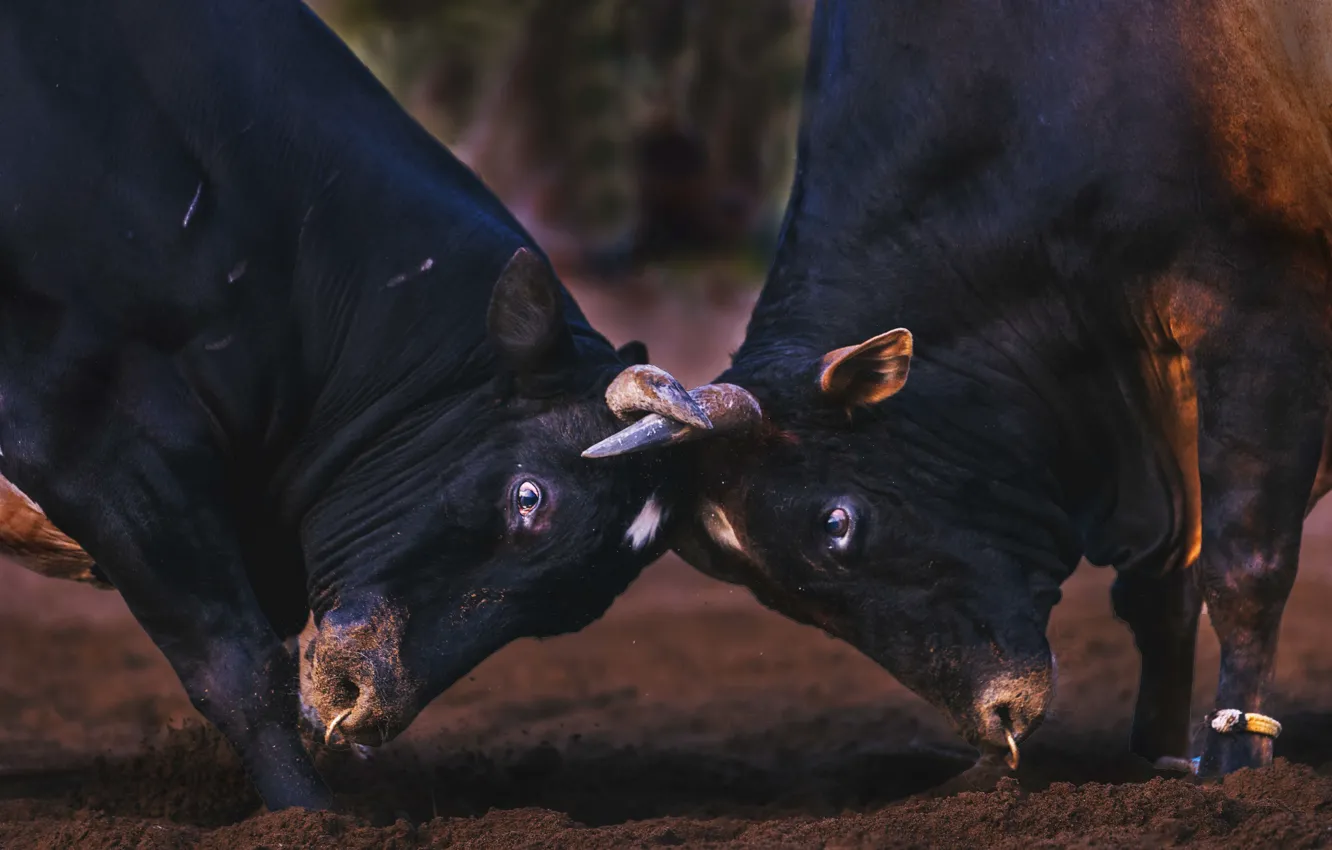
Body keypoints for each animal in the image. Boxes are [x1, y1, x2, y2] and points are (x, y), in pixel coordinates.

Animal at [0, 0, 714, 811]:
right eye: (529, 497)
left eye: (578, 606)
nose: (363, 704)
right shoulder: (92, 421)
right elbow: (238, 663)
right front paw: (308, 815)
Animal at [586, 0, 1332, 783]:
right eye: (776, 596)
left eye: (836, 523)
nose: (993, 719)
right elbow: (1160, 589)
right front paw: (1159, 759)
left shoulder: (1257, 305)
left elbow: (1243, 565)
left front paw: (1235, 762)